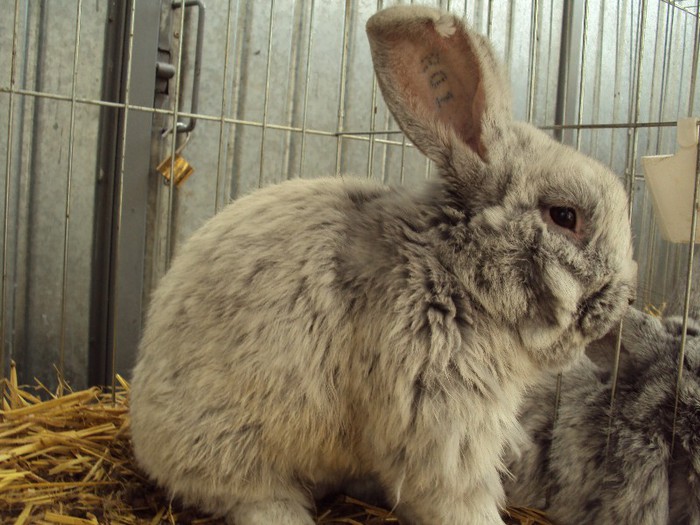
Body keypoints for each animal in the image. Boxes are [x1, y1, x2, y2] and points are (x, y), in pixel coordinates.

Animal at [129, 5, 636, 524]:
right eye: (565, 216)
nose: (620, 301)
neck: (453, 269)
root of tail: (142, 427)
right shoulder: (440, 419)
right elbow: (458, 499)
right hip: (231, 448)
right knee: (253, 496)